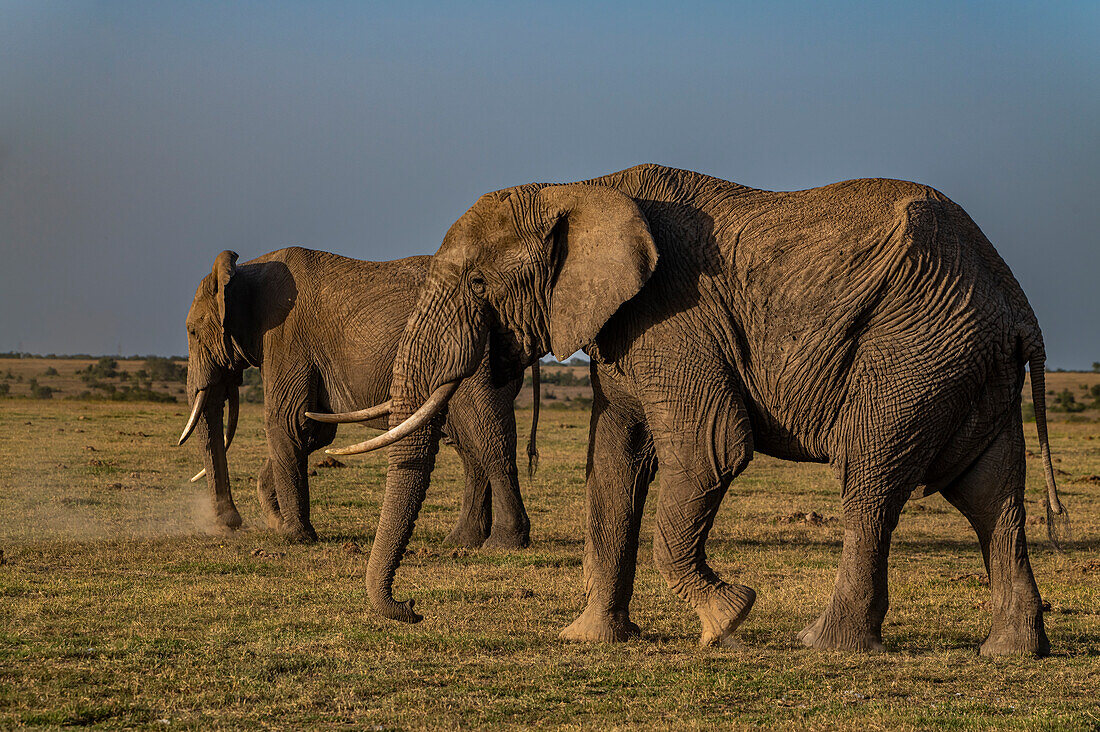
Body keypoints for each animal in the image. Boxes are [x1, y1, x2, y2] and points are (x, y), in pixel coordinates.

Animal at [177, 248, 536, 545]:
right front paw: (277, 523)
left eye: (192, 332)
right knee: (468, 444)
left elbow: (289, 422)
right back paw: (461, 541)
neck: (245, 269)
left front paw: (295, 537)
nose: (230, 524)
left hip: (474, 357)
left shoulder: (285, 339)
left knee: (487, 435)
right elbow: (313, 430)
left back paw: (503, 542)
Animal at [321, 165, 1064, 656]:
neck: (579, 187)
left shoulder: (676, 317)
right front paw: (592, 638)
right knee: (991, 495)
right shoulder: (622, 331)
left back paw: (823, 645)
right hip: (965, 360)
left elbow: (710, 451)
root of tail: (1017, 303)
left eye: (478, 284)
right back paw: (1010, 652)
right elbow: (613, 464)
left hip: (913, 350)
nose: (411, 612)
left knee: (872, 479)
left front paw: (725, 620)